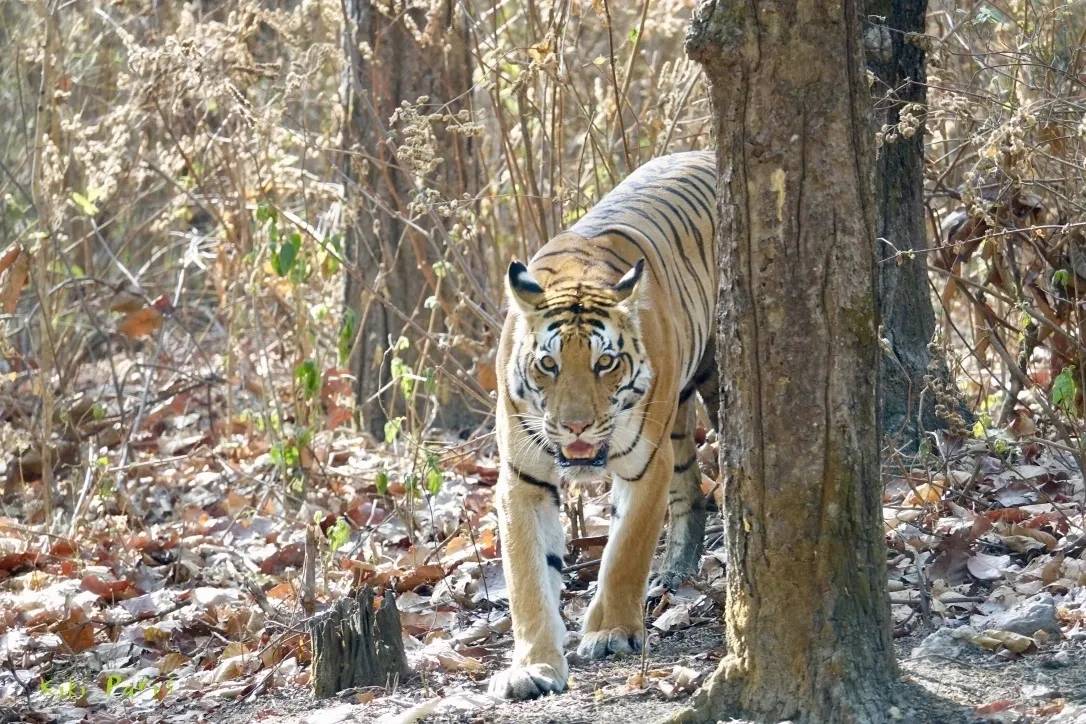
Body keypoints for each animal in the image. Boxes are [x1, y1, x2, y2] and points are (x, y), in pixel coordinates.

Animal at [488, 149, 716, 699]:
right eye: (548, 364)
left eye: (604, 362)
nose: (575, 427)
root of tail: (704, 151)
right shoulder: (523, 480)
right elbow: (528, 578)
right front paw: (533, 666)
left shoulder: (645, 466)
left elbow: (624, 552)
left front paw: (611, 632)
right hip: (678, 419)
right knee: (690, 488)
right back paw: (674, 573)